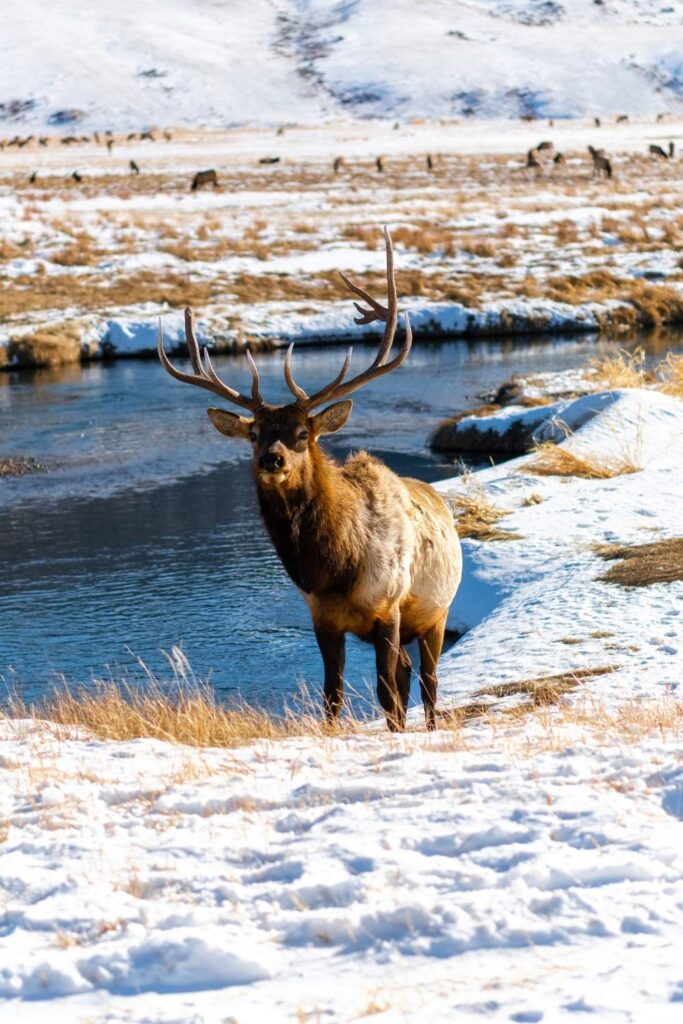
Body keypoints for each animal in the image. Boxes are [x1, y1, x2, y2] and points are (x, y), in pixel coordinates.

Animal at [157, 229, 462, 732]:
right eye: (255, 433)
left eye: (303, 433)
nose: (272, 459)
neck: (334, 568)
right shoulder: (322, 619)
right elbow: (332, 697)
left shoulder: (390, 609)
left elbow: (387, 696)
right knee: (407, 679)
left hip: (436, 612)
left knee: (429, 686)